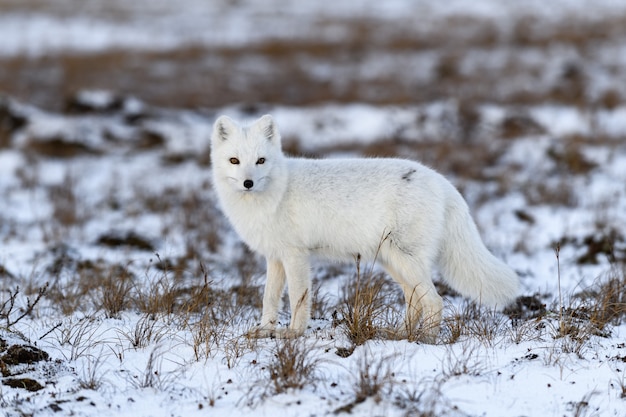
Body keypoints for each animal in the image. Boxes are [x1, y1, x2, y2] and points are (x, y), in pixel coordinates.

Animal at [210, 114, 516, 342]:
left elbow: (298, 298)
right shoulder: (275, 257)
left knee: (434, 301)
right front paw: (265, 330)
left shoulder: (296, 255)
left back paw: (425, 341)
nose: (248, 183)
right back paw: (399, 334)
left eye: (260, 160)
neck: (276, 193)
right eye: (234, 160)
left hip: (405, 259)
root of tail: (442, 181)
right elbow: (269, 298)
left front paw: (293, 334)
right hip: (393, 262)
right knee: (415, 300)